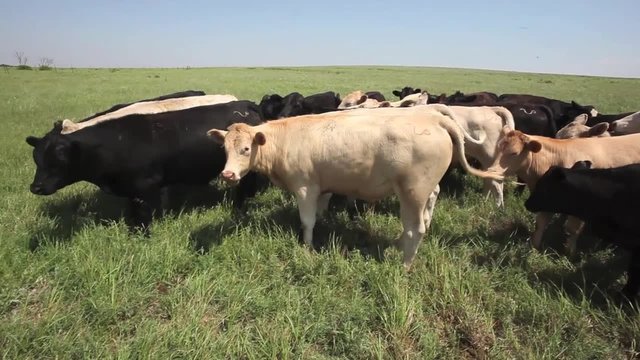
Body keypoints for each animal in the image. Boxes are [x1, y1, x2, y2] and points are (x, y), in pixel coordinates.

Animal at [26, 100, 264, 232]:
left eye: (59, 159)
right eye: (37, 158)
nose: (35, 187)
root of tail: (244, 105)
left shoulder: (146, 187)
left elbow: (143, 216)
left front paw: (141, 236)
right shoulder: (131, 189)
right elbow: (132, 211)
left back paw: (239, 208)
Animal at [208, 107, 502, 268]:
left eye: (246, 149)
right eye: (225, 149)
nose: (227, 174)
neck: (284, 140)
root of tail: (435, 120)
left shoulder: (305, 188)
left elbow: (307, 222)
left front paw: (307, 247)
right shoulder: (323, 186)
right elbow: (321, 213)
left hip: (413, 192)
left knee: (415, 229)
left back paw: (405, 264)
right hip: (425, 189)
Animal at [488, 128, 640, 255]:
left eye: (514, 153)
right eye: (498, 147)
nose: (491, 170)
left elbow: (572, 229)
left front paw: (569, 252)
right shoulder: (543, 200)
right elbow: (540, 224)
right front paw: (534, 247)